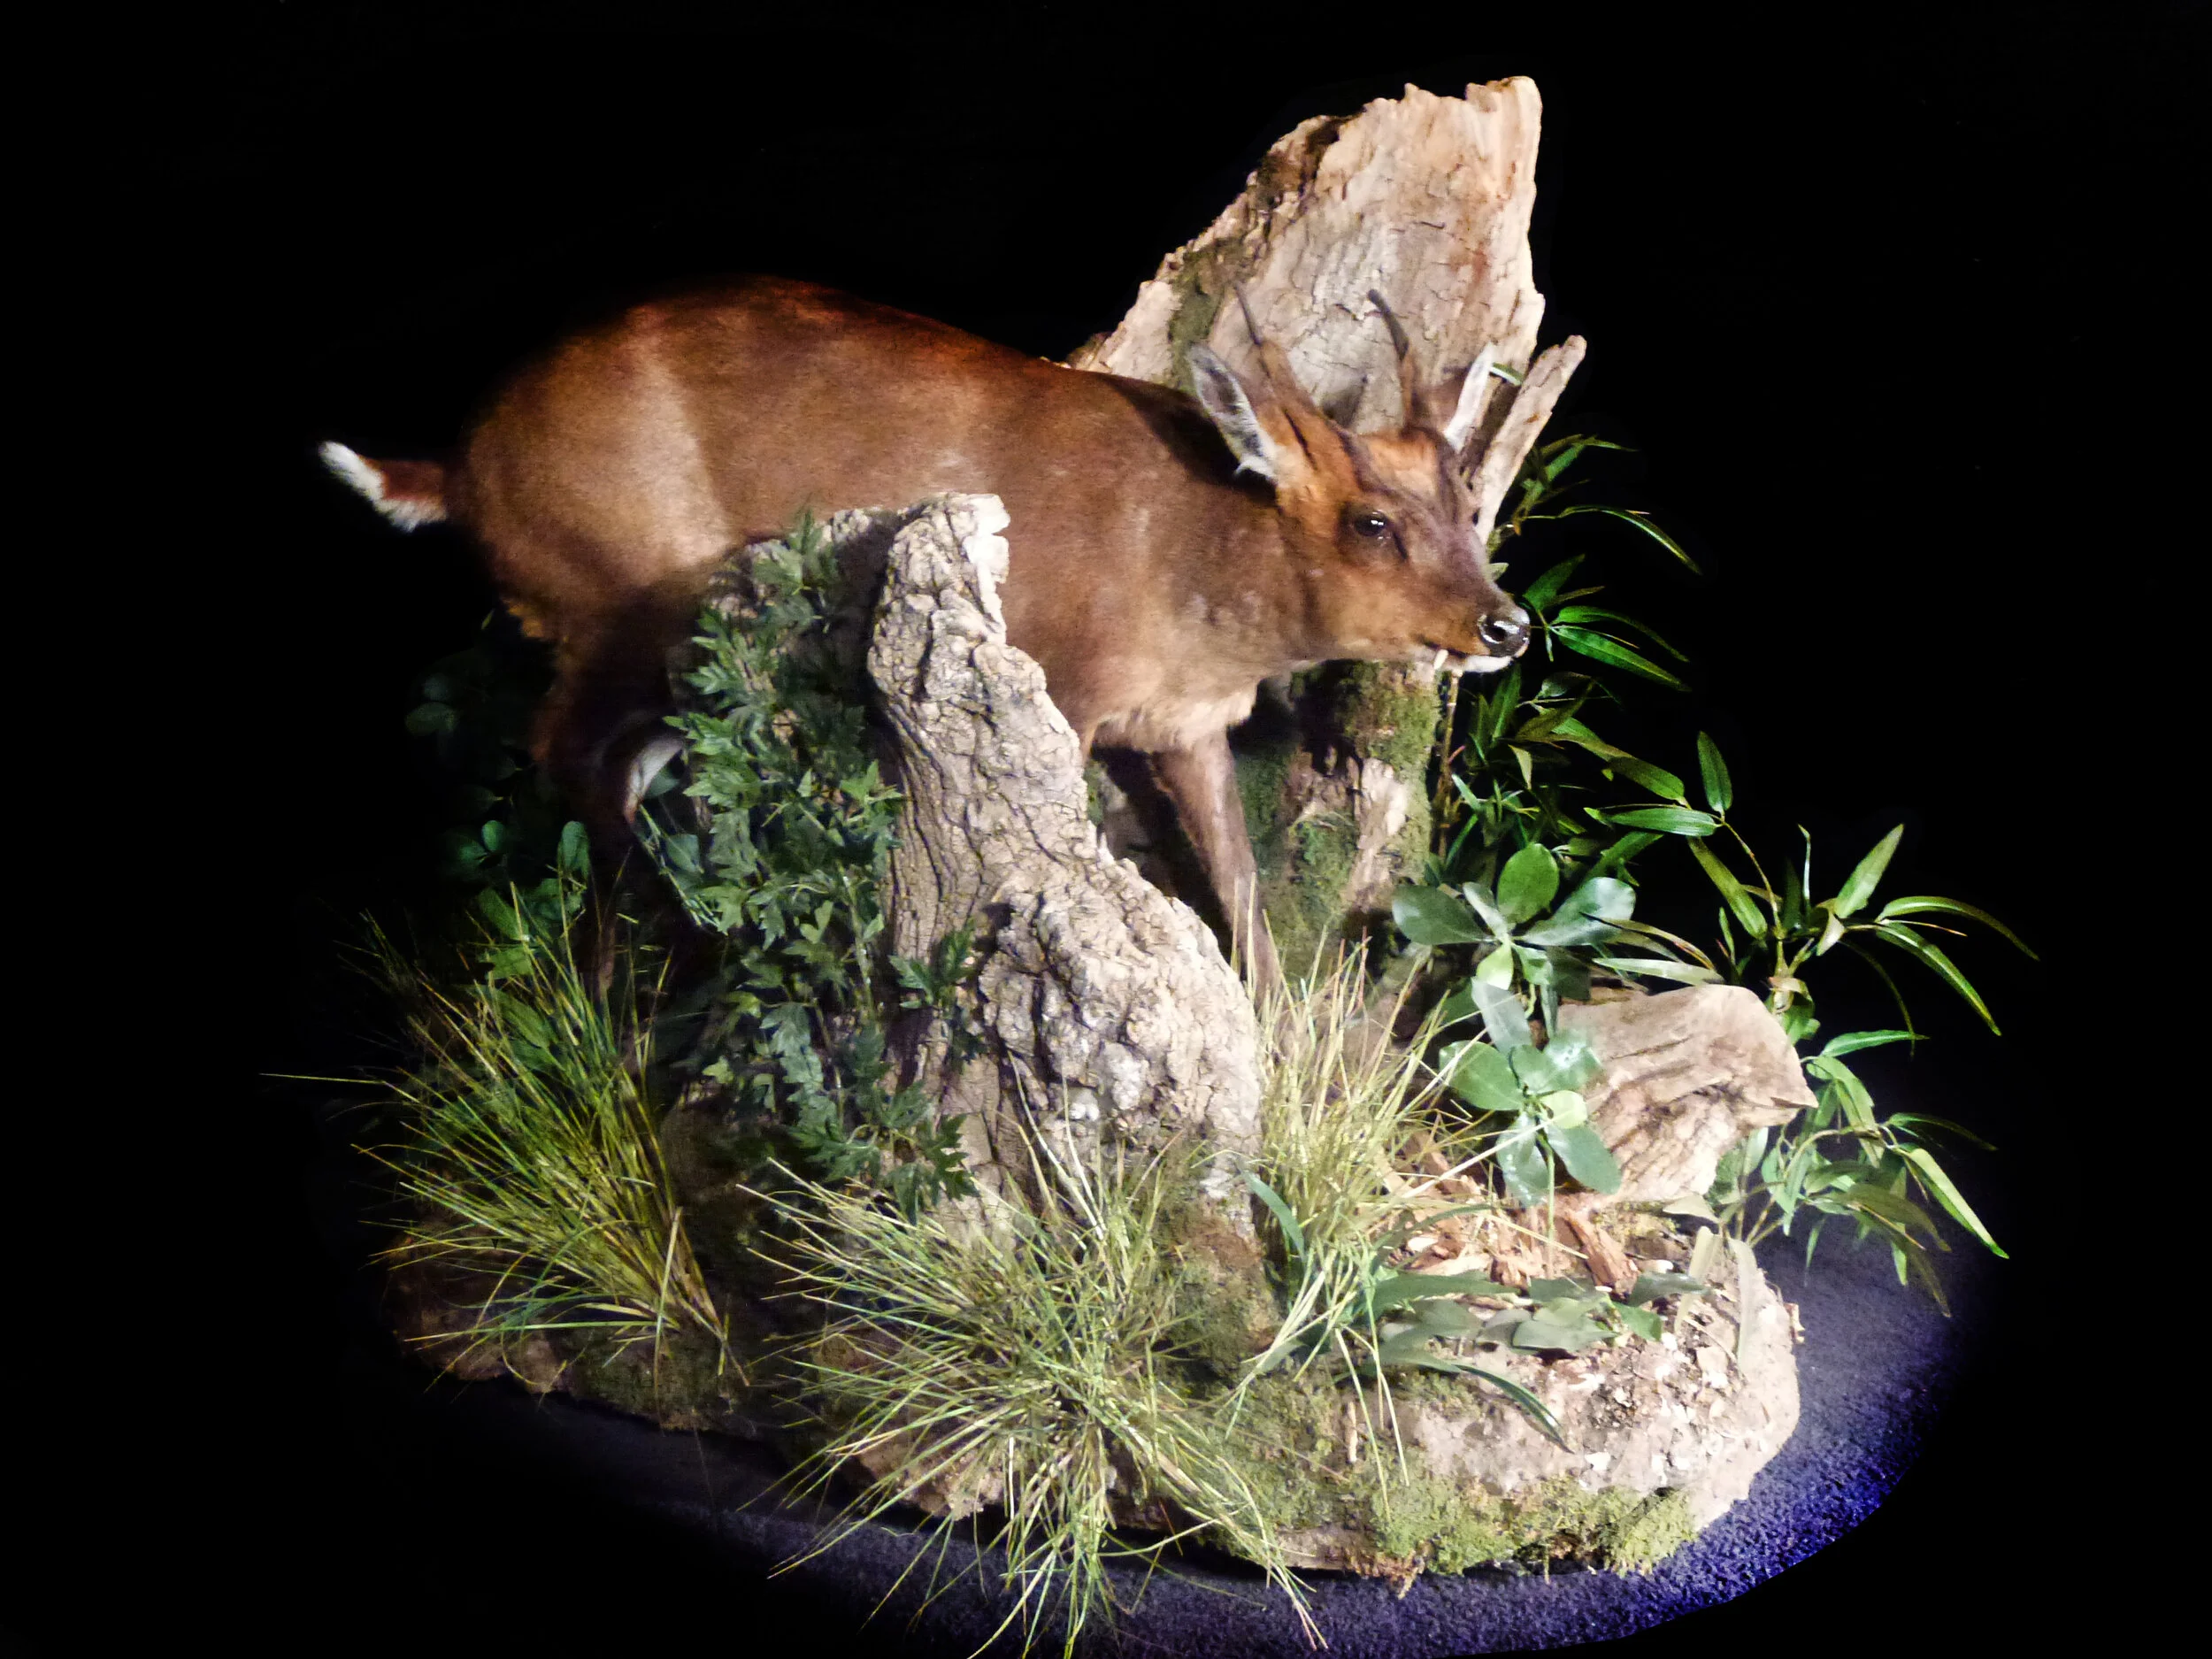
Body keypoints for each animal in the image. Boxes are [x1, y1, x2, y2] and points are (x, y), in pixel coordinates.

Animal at [323, 276, 1549, 988]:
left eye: (1466, 505)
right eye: (1372, 522)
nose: (1506, 624)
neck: (1190, 565)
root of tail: (456, 473)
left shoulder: (1186, 724)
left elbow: (1241, 889)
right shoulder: (1063, 677)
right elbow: (1081, 849)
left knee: (629, 767)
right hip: (626, 593)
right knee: (564, 754)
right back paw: (673, 950)